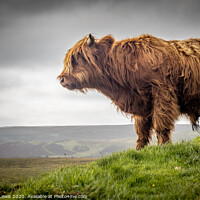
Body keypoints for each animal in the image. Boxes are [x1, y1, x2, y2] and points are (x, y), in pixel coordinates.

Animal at [57, 34, 200, 149]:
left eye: (77, 57)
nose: (62, 79)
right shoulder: (142, 105)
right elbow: (141, 130)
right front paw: (140, 149)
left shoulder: (162, 93)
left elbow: (161, 123)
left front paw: (163, 146)